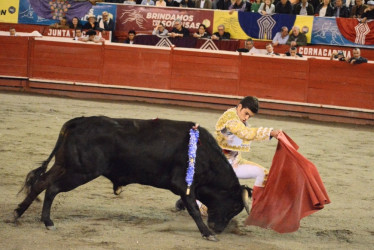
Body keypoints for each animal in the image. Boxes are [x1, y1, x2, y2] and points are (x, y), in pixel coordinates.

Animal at [13, 116, 251, 240]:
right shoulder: (184, 185)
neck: (203, 153)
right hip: (79, 172)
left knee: (40, 183)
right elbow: (193, 208)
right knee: (52, 188)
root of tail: (78, 122)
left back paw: (18, 214)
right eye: (234, 207)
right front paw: (207, 233)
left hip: (64, 165)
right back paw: (48, 222)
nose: (218, 228)